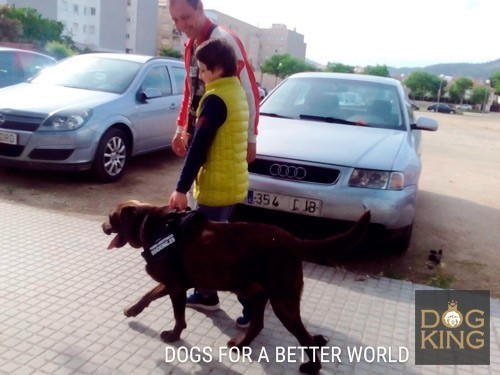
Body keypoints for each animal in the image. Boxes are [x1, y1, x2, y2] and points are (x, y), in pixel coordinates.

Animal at [101, 198, 370, 374]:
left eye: (110, 218)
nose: (103, 227)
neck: (152, 225)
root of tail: (293, 240)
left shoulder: (176, 286)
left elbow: (178, 316)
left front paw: (174, 335)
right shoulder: (172, 282)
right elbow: (148, 295)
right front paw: (132, 310)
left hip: (283, 301)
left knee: (304, 337)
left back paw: (312, 366)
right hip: (257, 293)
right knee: (258, 324)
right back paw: (241, 344)